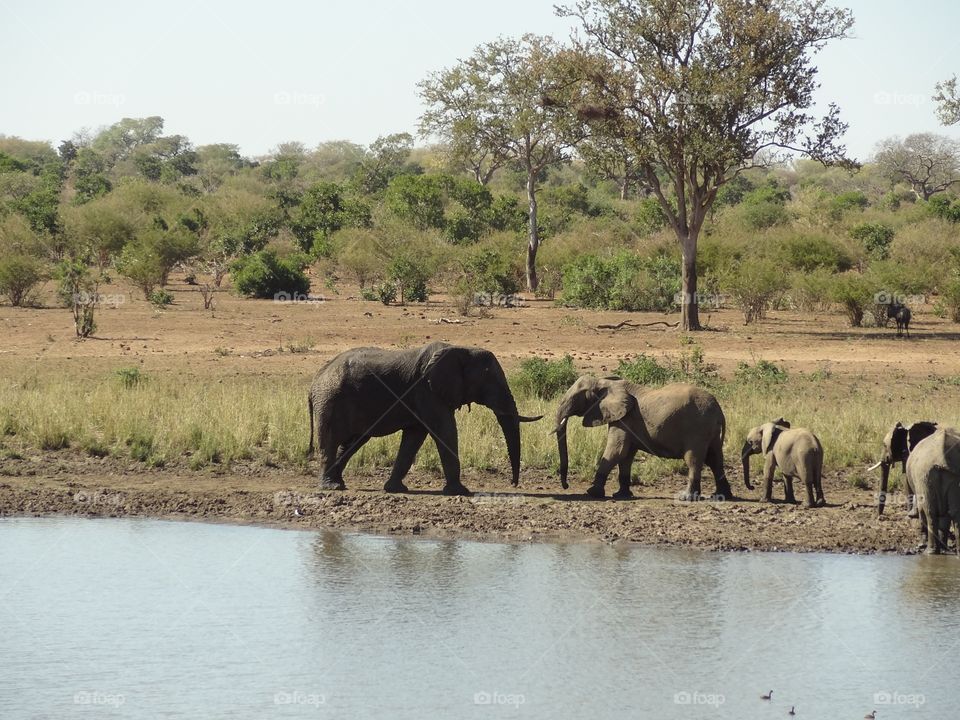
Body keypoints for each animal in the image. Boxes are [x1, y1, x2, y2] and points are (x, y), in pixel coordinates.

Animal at [308, 342, 540, 496]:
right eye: (491, 382)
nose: (513, 484)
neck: (461, 349)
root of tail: (314, 382)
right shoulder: (427, 391)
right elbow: (445, 430)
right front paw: (461, 492)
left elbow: (414, 437)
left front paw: (395, 489)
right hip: (330, 400)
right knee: (331, 442)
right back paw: (332, 486)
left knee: (353, 442)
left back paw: (338, 483)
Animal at [552, 376, 732, 500]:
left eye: (576, 397)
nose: (566, 486)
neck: (605, 382)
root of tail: (719, 411)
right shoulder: (625, 421)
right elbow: (626, 456)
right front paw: (621, 495)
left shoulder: (624, 419)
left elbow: (615, 452)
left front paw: (592, 493)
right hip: (710, 432)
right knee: (715, 460)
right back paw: (721, 496)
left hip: (697, 429)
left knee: (694, 460)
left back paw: (686, 498)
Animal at [904, 428, 960, 556]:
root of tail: (942, 456)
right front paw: (944, 548)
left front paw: (921, 545)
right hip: (945, 475)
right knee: (955, 512)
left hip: (925, 476)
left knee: (929, 512)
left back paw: (929, 551)